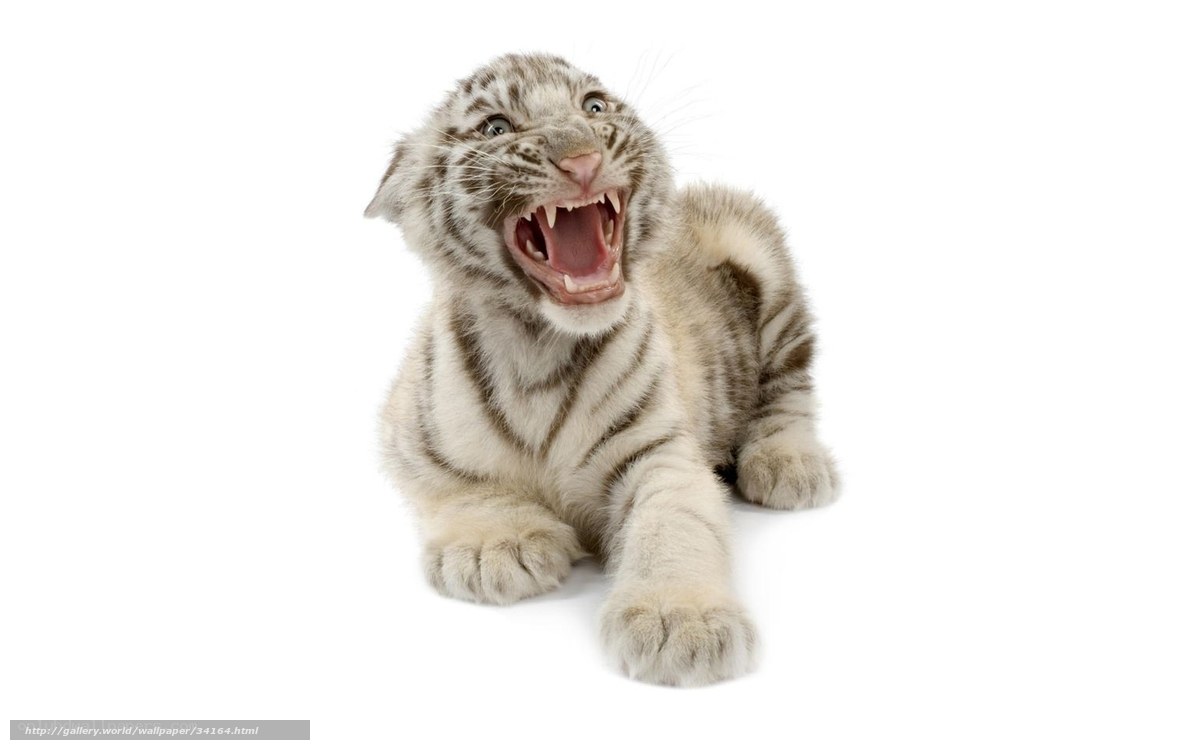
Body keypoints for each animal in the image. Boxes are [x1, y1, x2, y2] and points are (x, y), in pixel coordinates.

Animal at [365, 53, 840, 687]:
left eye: (594, 106)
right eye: (496, 127)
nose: (582, 158)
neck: (538, 344)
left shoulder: (659, 452)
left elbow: (676, 525)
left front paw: (679, 621)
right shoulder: (407, 432)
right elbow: (455, 484)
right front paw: (497, 545)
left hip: (757, 251)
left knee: (790, 386)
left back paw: (789, 464)